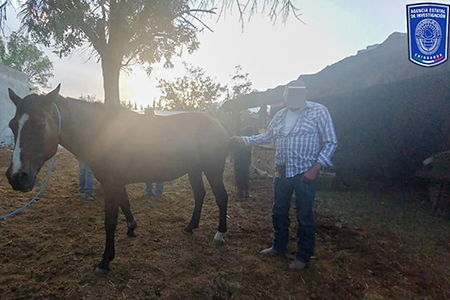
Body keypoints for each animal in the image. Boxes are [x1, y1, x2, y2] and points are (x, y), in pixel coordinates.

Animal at [6, 84, 230, 274]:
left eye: (41, 125)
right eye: (12, 125)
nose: (16, 177)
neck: (101, 132)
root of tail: (219, 125)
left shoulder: (111, 184)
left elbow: (110, 222)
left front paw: (105, 261)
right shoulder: (116, 182)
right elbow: (126, 203)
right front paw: (132, 229)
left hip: (212, 169)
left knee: (221, 197)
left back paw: (220, 234)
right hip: (194, 170)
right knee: (200, 195)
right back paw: (190, 227)